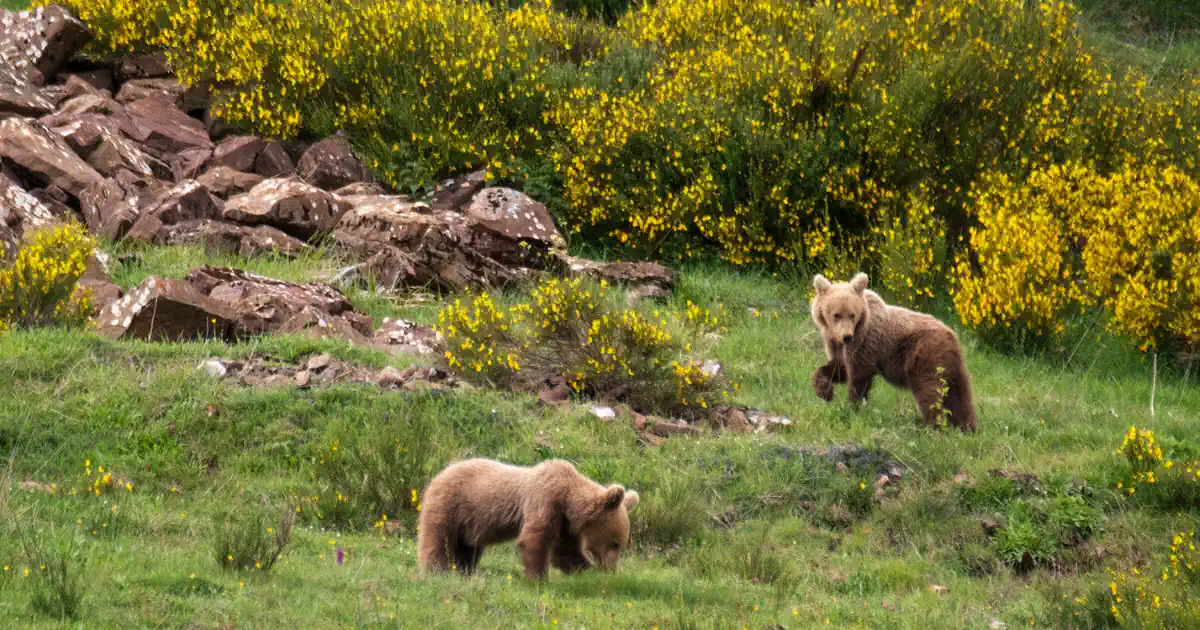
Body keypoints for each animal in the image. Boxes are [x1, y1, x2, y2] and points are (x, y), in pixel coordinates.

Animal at [416, 458, 640, 580]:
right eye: (615, 543)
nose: (611, 569)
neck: (568, 497)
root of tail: (439, 473)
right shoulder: (545, 500)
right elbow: (535, 539)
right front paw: (538, 578)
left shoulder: (564, 521)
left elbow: (565, 550)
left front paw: (585, 569)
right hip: (451, 505)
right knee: (438, 539)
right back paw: (436, 570)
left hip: (469, 521)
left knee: (468, 548)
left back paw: (464, 571)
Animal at [810, 272, 977, 432]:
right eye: (837, 315)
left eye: (852, 314)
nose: (847, 336)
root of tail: (952, 335)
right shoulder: (837, 346)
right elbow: (838, 368)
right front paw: (825, 392)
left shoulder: (864, 343)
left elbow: (858, 376)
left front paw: (853, 406)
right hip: (951, 363)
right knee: (959, 395)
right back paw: (967, 427)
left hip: (924, 354)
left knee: (928, 390)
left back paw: (931, 426)